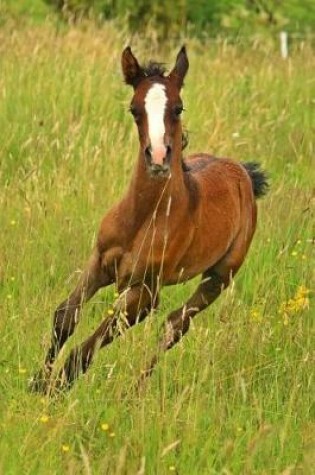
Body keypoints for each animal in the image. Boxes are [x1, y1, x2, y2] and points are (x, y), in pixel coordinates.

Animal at [30, 45, 270, 394]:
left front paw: (57, 387)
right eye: (134, 109)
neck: (142, 218)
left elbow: (88, 347)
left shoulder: (146, 292)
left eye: (179, 108)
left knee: (175, 325)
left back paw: (135, 390)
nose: (157, 157)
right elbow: (65, 316)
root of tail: (242, 171)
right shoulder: (99, 261)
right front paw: (37, 383)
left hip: (220, 276)